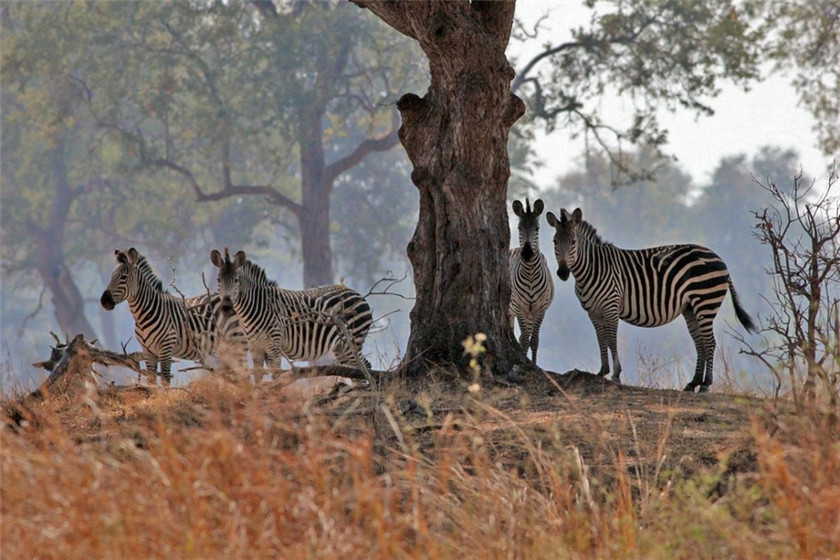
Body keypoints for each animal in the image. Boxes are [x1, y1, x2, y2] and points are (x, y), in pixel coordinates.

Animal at [99, 249, 243, 384]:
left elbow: (165, 380)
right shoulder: (148, 352)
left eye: (124, 277)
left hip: (233, 340)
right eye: (112, 276)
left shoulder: (166, 349)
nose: (104, 301)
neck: (143, 315)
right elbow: (151, 382)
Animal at [208, 248, 372, 372]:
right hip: (340, 347)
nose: (226, 306)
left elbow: (276, 375)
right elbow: (258, 377)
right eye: (218, 280)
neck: (252, 309)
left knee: (365, 368)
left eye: (236, 281)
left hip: (353, 341)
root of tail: (359, 295)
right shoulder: (255, 347)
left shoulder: (274, 345)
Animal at [508, 197, 556, 364]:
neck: (529, 274)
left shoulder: (540, 309)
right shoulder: (520, 307)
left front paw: (534, 364)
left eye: (537, 229)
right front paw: (524, 360)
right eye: (519, 228)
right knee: (518, 335)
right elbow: (524, 340)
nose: (527, 253)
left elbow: (534, 340)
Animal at [544, 207, 756, 394]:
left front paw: (615, 375)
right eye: (554, 242)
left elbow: (611, 340)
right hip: (691, 308)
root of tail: (720, 259)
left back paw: (705, 385)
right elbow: (601, 340)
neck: (591, 269)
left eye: (573, 242)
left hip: (705, 303)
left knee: (710, 342)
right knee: (700, 343)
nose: (562, 273)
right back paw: (693, 383)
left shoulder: (611, 307)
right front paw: (602, 372)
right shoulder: (593, 313)